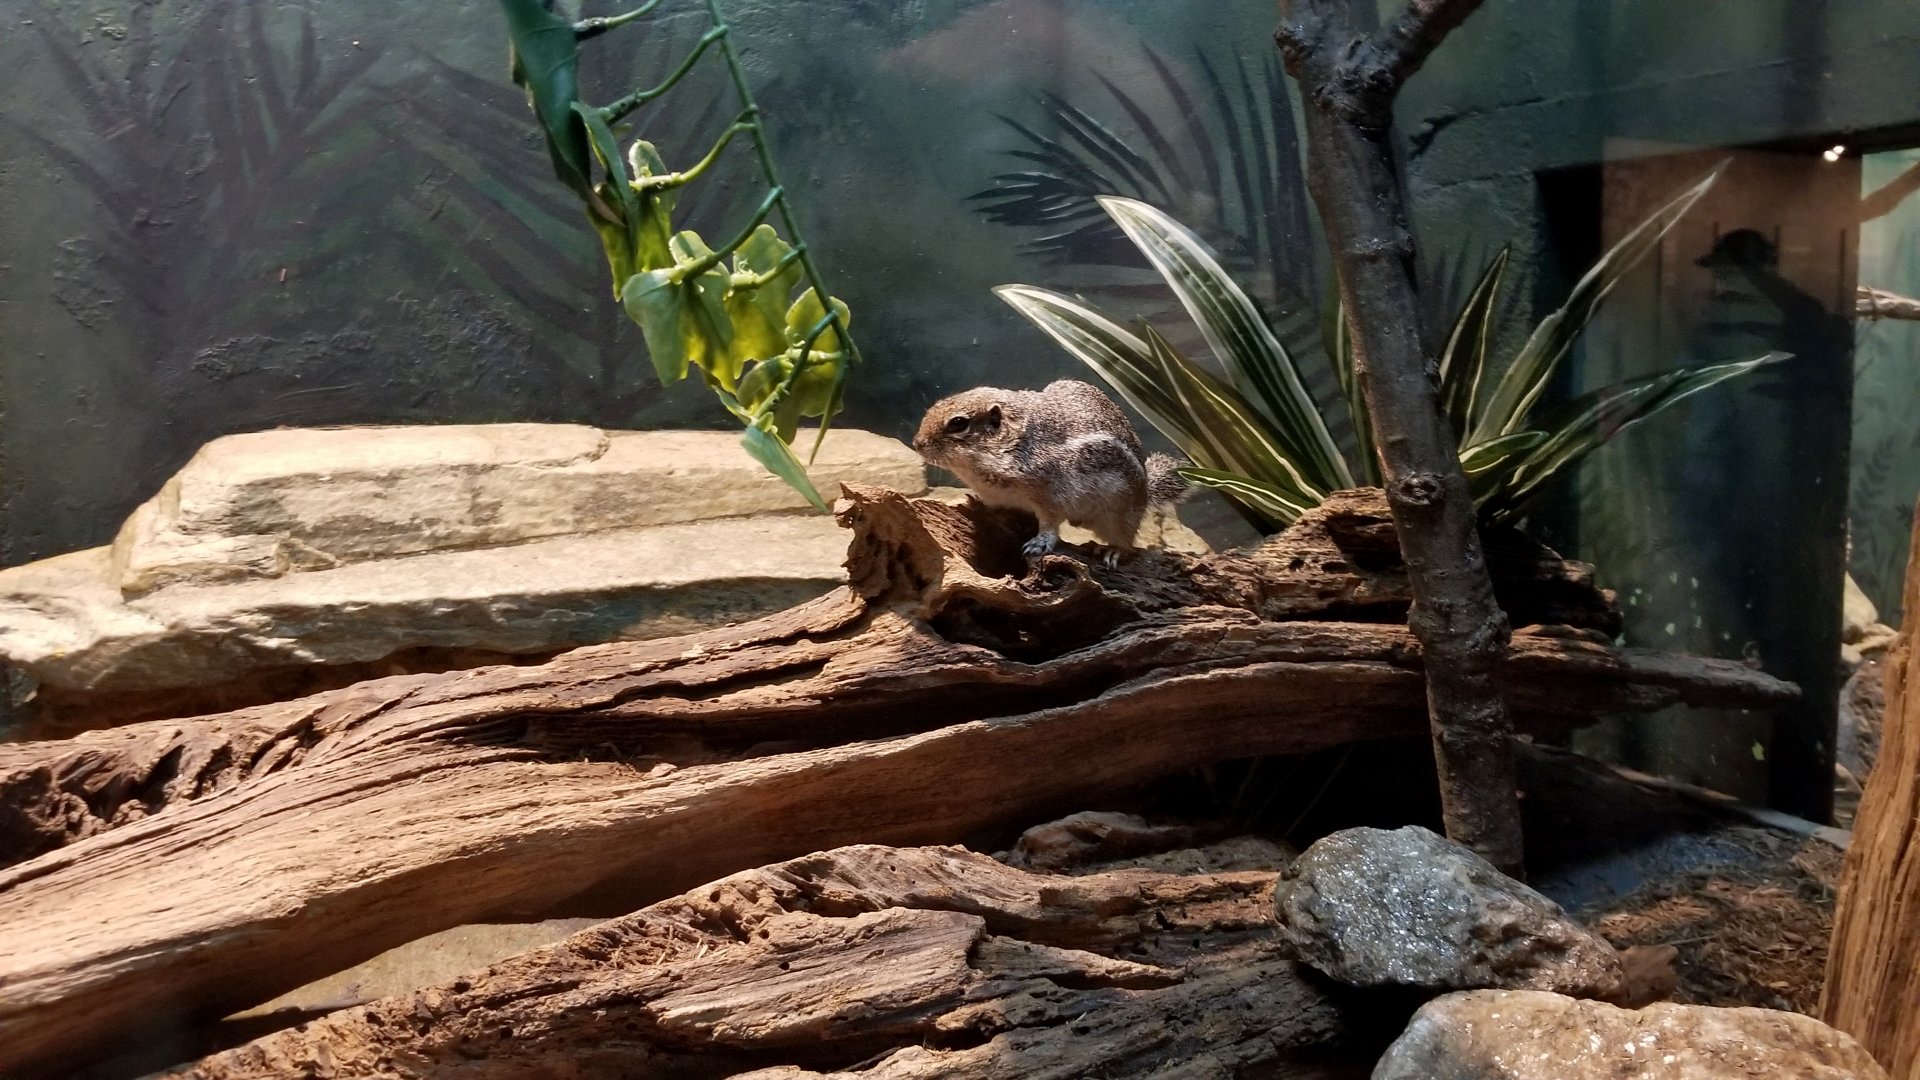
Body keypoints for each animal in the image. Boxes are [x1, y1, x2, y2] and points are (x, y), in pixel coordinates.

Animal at [913, 379, 1189, 561]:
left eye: (958, 423)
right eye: (937, 404)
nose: (917, 443)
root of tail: (1146, 494)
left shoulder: (1051, 494)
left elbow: (1050, 523)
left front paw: (1040, 543)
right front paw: (972, 501)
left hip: (1119, 515)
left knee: (1127, 541)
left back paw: (1113, 550)